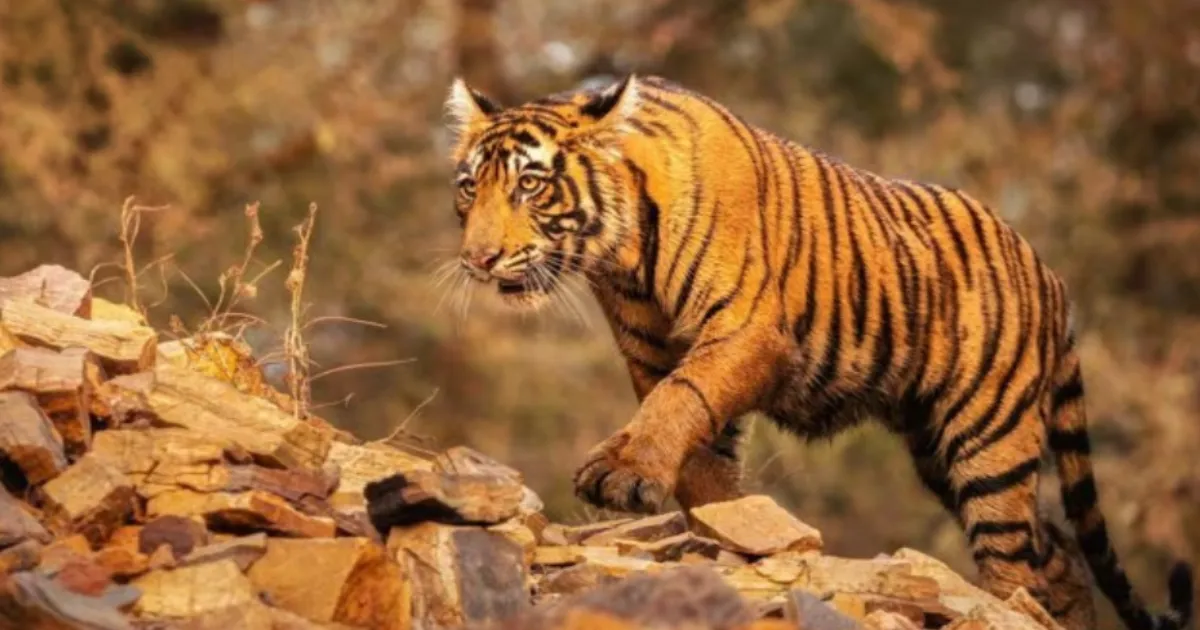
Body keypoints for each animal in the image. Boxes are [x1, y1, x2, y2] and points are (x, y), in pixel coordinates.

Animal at [442, 73, 1194, 630]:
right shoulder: (650, 349)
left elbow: (681, 399)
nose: (478, 259)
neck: (622, 255)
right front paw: (724, 531)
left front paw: (623, 474)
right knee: (1057, 553)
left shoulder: (745, 329)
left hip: (988, 439)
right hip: (938, 448)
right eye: (468, 188)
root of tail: (1052, 276)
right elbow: (698, 449)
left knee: (1016, 560)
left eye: (530, 185)